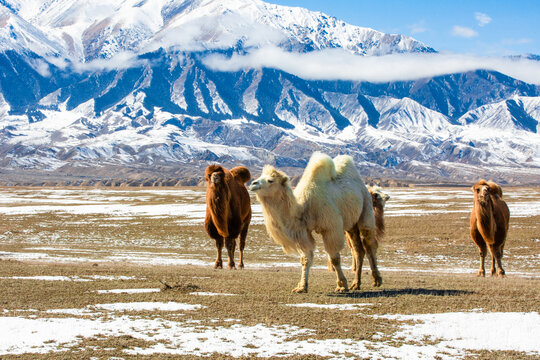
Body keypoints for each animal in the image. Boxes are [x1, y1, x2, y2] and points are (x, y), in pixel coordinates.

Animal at [249, 152, 380, 292]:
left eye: (270, 180)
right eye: (260, 176)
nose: (253, 183)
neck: (303, 208)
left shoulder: (331, 228)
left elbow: (334, 258)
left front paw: (341, 285)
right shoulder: (303, 232)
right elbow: (305, 259)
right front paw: (301, 287)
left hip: (366, 207)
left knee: (369, 244)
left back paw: (376, 280)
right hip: (351, 224)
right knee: (358, 249)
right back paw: (356, 284)